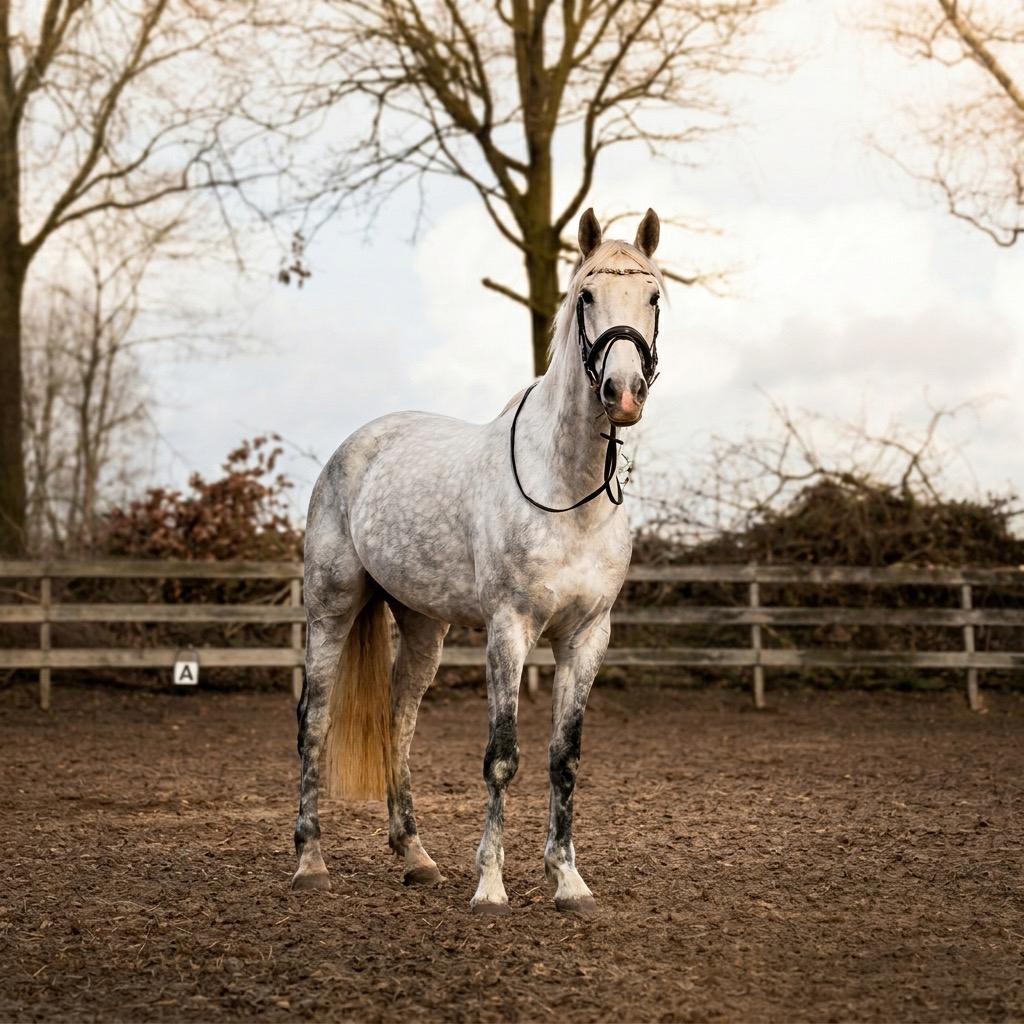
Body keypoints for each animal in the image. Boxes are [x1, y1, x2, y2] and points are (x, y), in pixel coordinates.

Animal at [292, 207, 665, 915]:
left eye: (654, 297)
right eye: (586, 296)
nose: (622, 391)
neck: (567, 490)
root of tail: (354, 447)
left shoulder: (586, 636)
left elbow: (564, 757)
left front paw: (568, 881)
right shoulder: (509, 629)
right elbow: (502, 756)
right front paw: (490, 885)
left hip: (422, 625)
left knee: (399, 721)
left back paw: (415, 857)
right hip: (331, 607)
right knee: (314, 720)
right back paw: (309, 863)